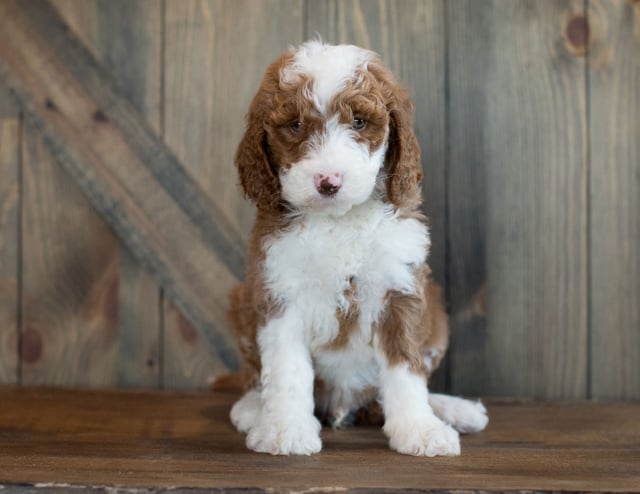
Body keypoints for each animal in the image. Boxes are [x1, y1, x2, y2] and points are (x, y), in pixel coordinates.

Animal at [225, 41, 484, 456]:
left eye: (359, 122)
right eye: (295, 125)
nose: (328, 181)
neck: (339, 219)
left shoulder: (400, 288)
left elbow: (405, 368)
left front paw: (419, 429)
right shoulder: (279, 288)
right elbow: (286, 368)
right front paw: (284, 429)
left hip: (436, 316)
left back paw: (452, 409)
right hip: (241, 298)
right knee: (253, 374)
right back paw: (253, 407)